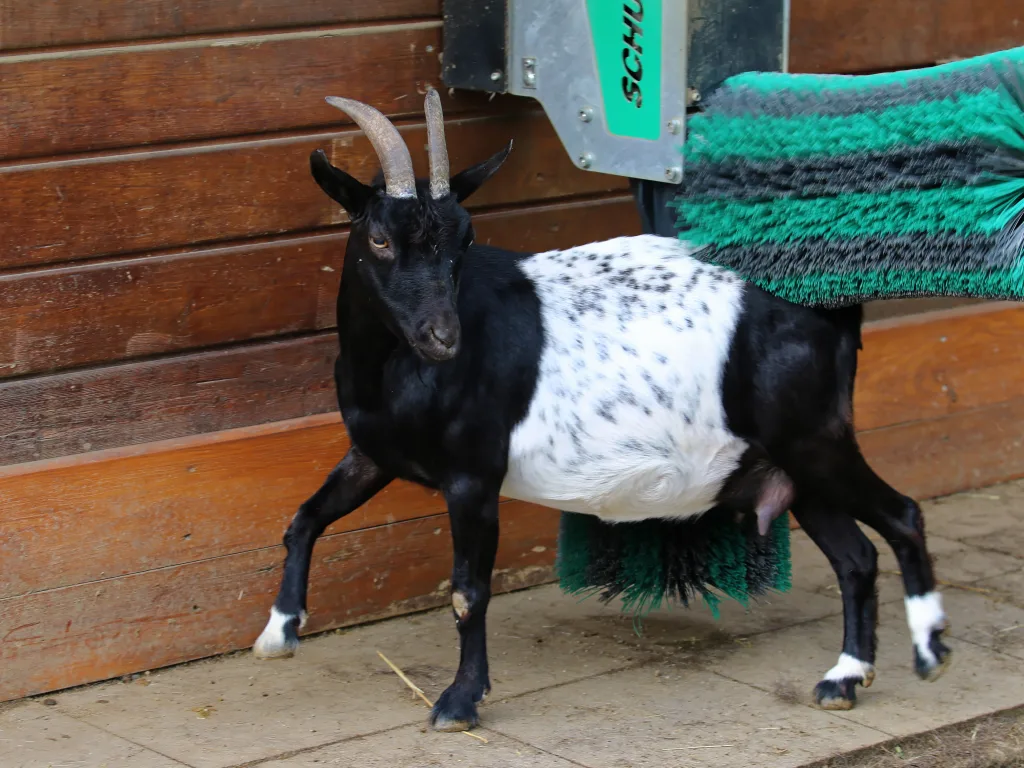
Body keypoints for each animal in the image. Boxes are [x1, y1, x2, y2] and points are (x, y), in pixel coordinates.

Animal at [253, 90, 950, 730]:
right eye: (378, 238)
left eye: (465, 239)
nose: (443, 337)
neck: (392, 369)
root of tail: (834, 300)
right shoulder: (375, 452)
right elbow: (304, 518)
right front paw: (279, 631)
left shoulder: (473, 475)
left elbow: (468, 591)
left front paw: (459, 701)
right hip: (789, 464)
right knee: (855, 557)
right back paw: (844, 678)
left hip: (814, 437)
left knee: (903, 516)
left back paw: (928, 651)